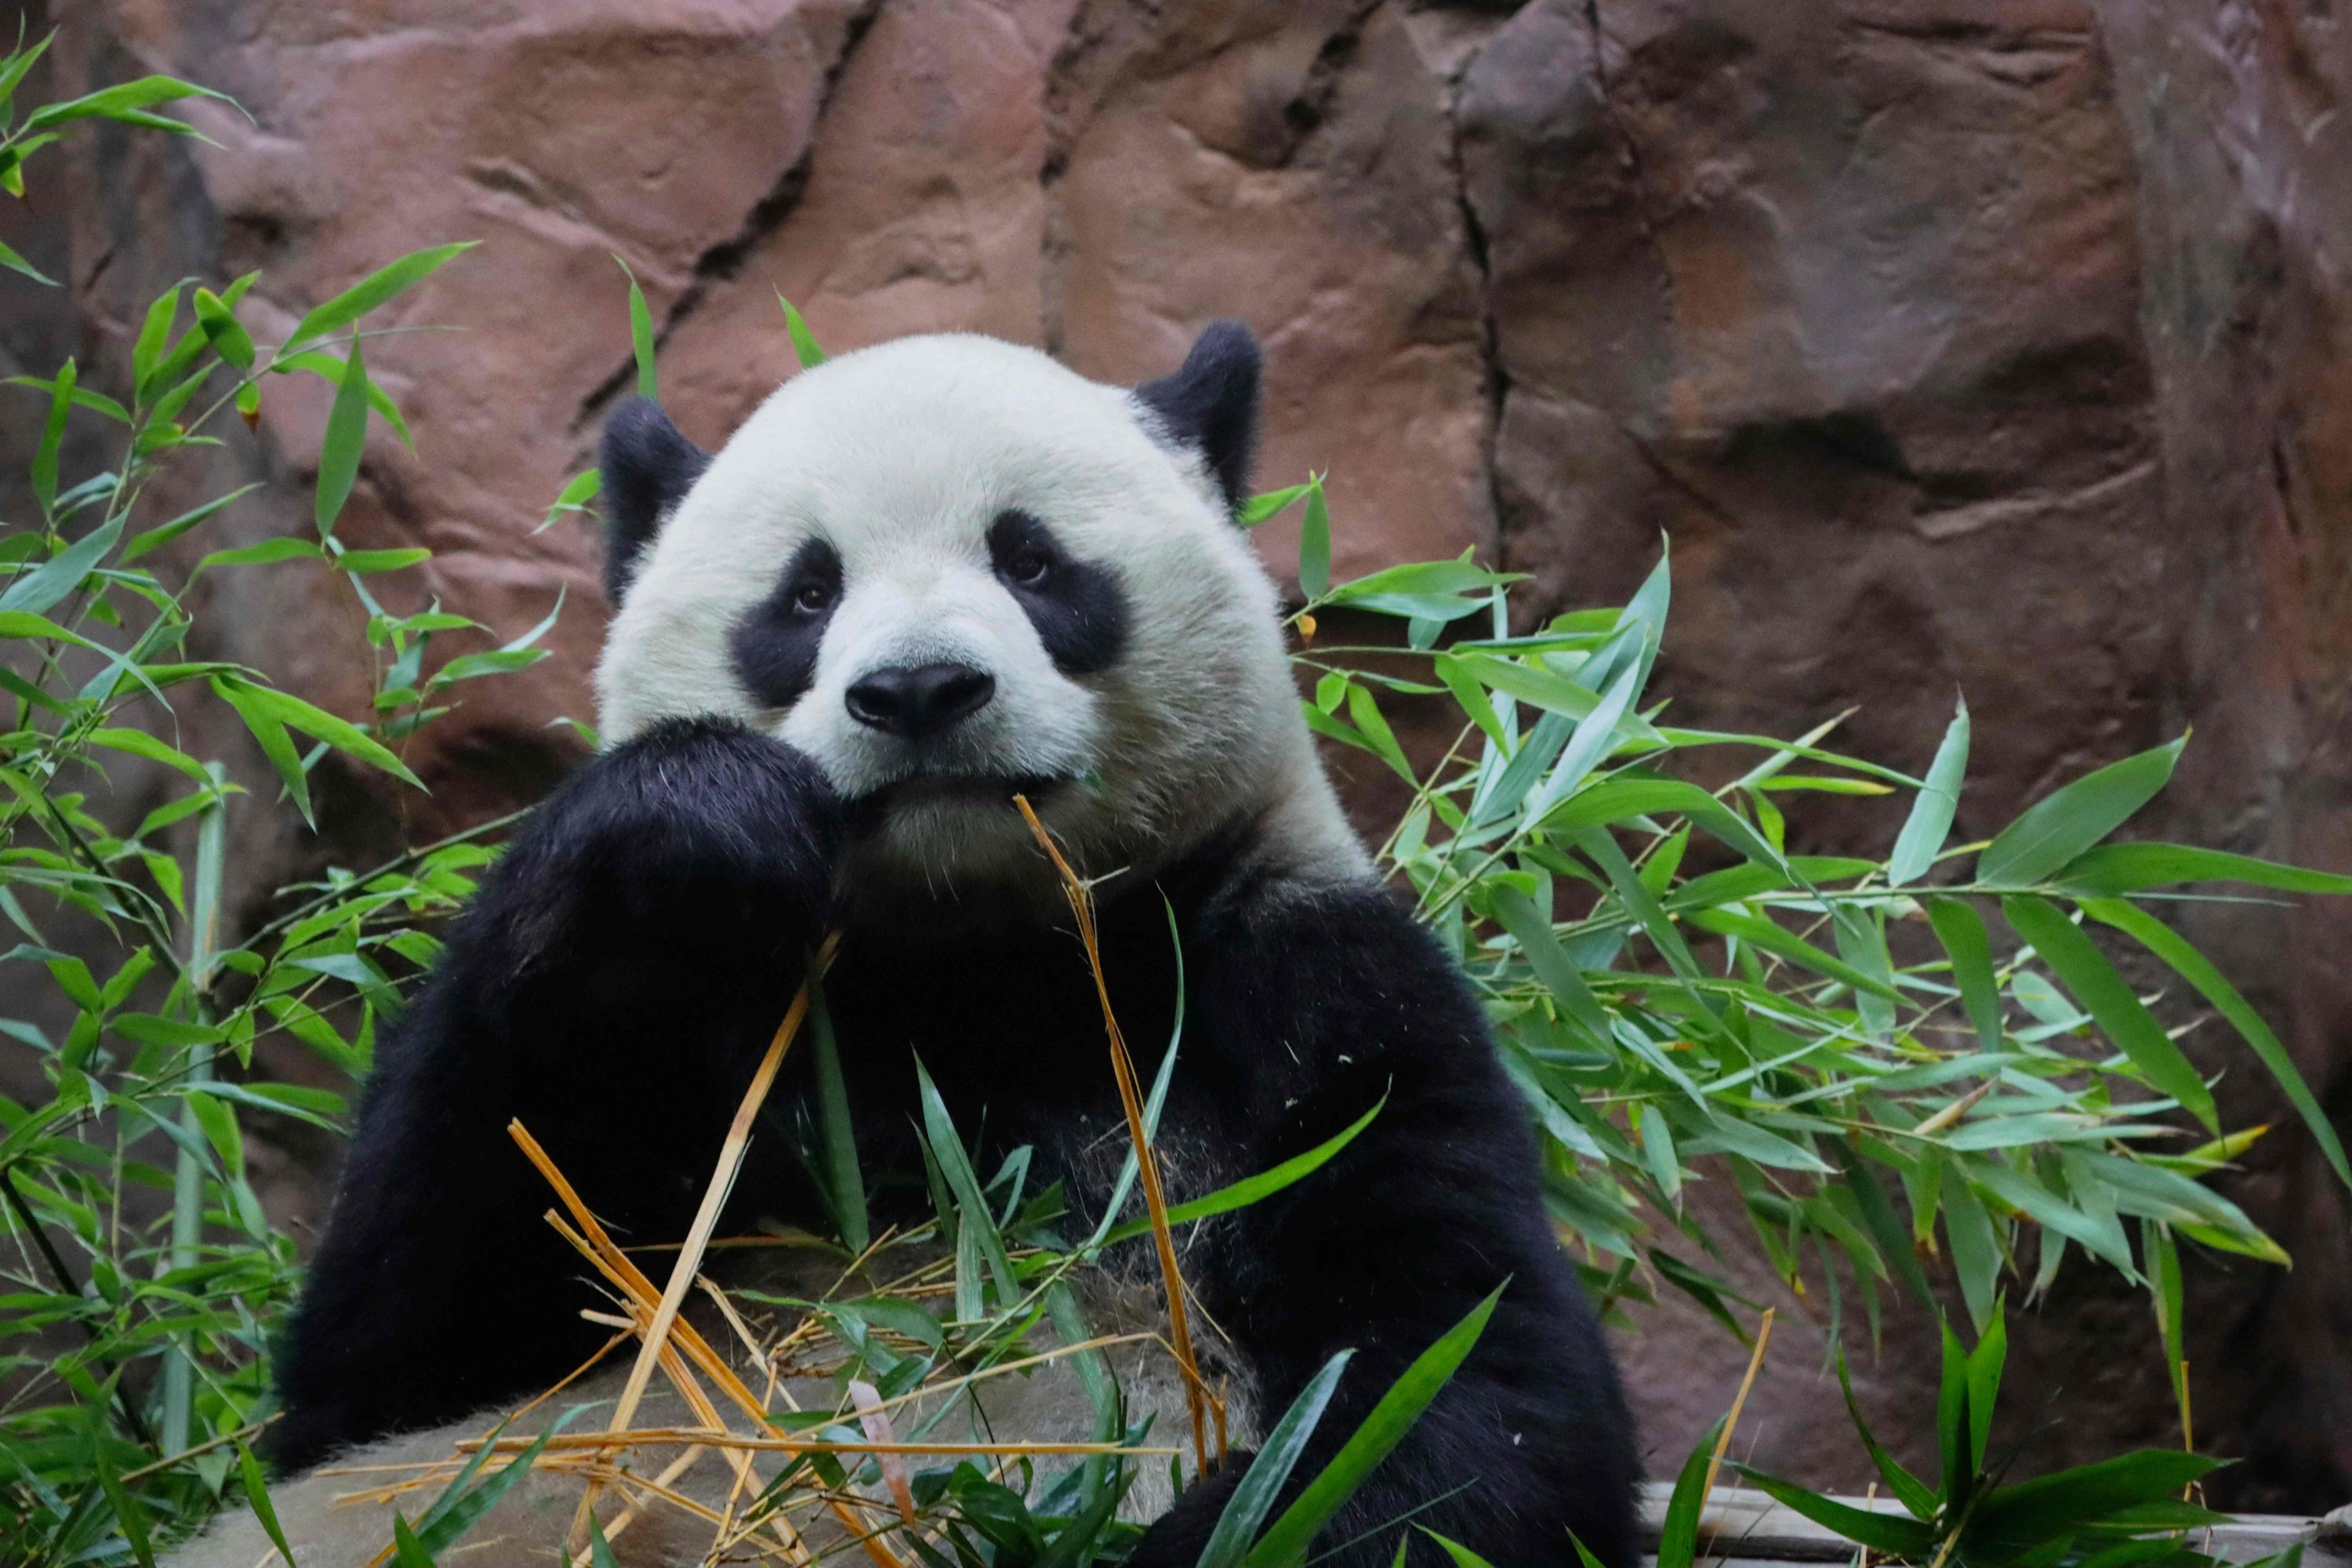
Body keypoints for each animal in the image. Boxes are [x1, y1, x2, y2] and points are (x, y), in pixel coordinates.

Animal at [170, 324, 1637, 1561]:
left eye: (1033, 560)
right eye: (807, 593)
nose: (921, 688)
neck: (977, 961)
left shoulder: (1300, 988)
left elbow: (1458, 1393)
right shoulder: (711, 1050)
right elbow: (398, 1366)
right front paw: (698, 819)